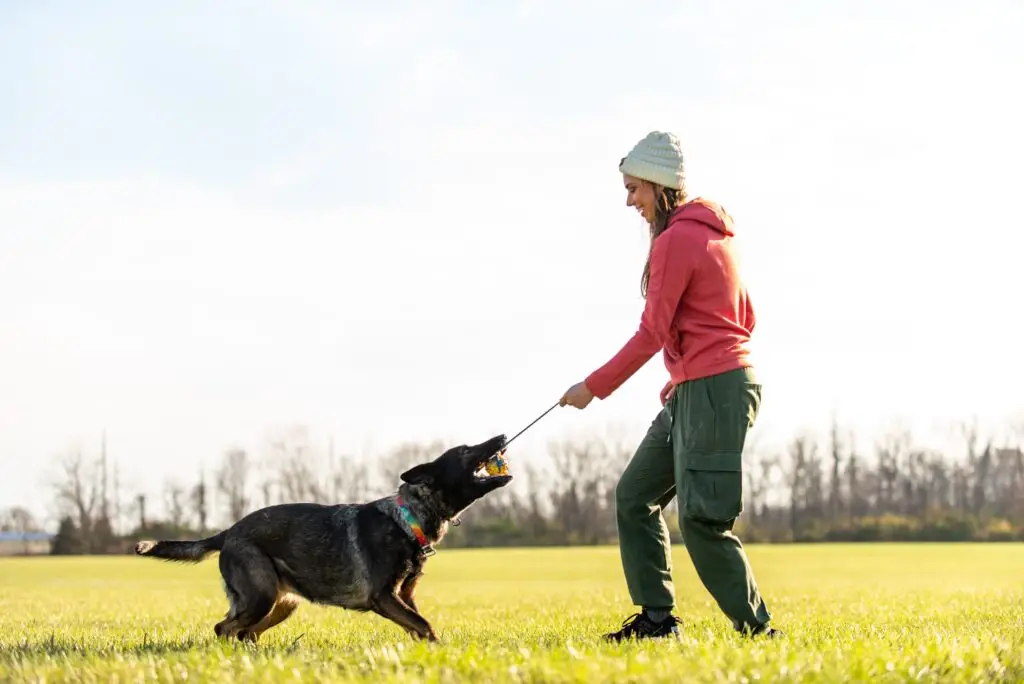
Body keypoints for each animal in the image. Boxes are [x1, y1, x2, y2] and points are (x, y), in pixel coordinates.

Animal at [134, 436, 512, 643]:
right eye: (464, 451)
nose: (501, 436)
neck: (408, 517)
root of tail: (229, 531)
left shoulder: (405, 597)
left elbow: (420, 626)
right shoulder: (384, 597)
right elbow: (425, 625)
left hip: (281, 603)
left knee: (245, 632)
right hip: (261, 596)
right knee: (224, 628)